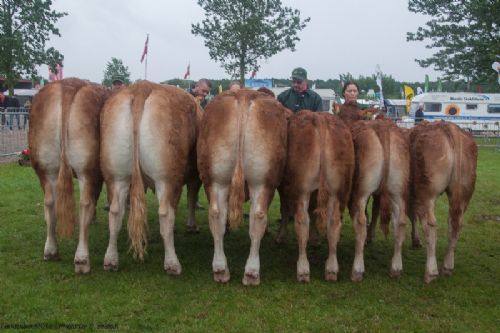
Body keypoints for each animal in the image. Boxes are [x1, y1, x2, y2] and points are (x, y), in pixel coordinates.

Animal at [28, 78, 110, 272]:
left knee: (49, 202)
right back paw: (82, 259)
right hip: (87, 169)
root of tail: (68, 87)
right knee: (85, 203)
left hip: (45, 167)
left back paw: (50, 251)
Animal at [99, 80, 201, 272]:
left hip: (116, 175)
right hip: (167, 178)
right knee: (166, 213)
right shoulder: (195, 176)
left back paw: (110, 260)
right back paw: (172, 263)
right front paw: (192, 226)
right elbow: (192, 197)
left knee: (115, 212)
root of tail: (142, 87)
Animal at [197, 89, 288, 286]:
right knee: (258, 217)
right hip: (263, 182)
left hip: (215, 179)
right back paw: (252, 273)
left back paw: (220, 269)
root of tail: (243, 94)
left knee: (216, 216)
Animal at [282, 111, 356, 280]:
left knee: (302, 222)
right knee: (333, 224)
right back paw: (331, 269)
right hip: (338, 190)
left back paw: (303, 269)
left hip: (301, 189)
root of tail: (319, 117)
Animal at [408, 120, 478, 282]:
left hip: (427, 193)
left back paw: (431, 272)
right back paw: (447, 266)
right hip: (463, 194)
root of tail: (448, 127)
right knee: (455, 224)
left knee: (430, 224)